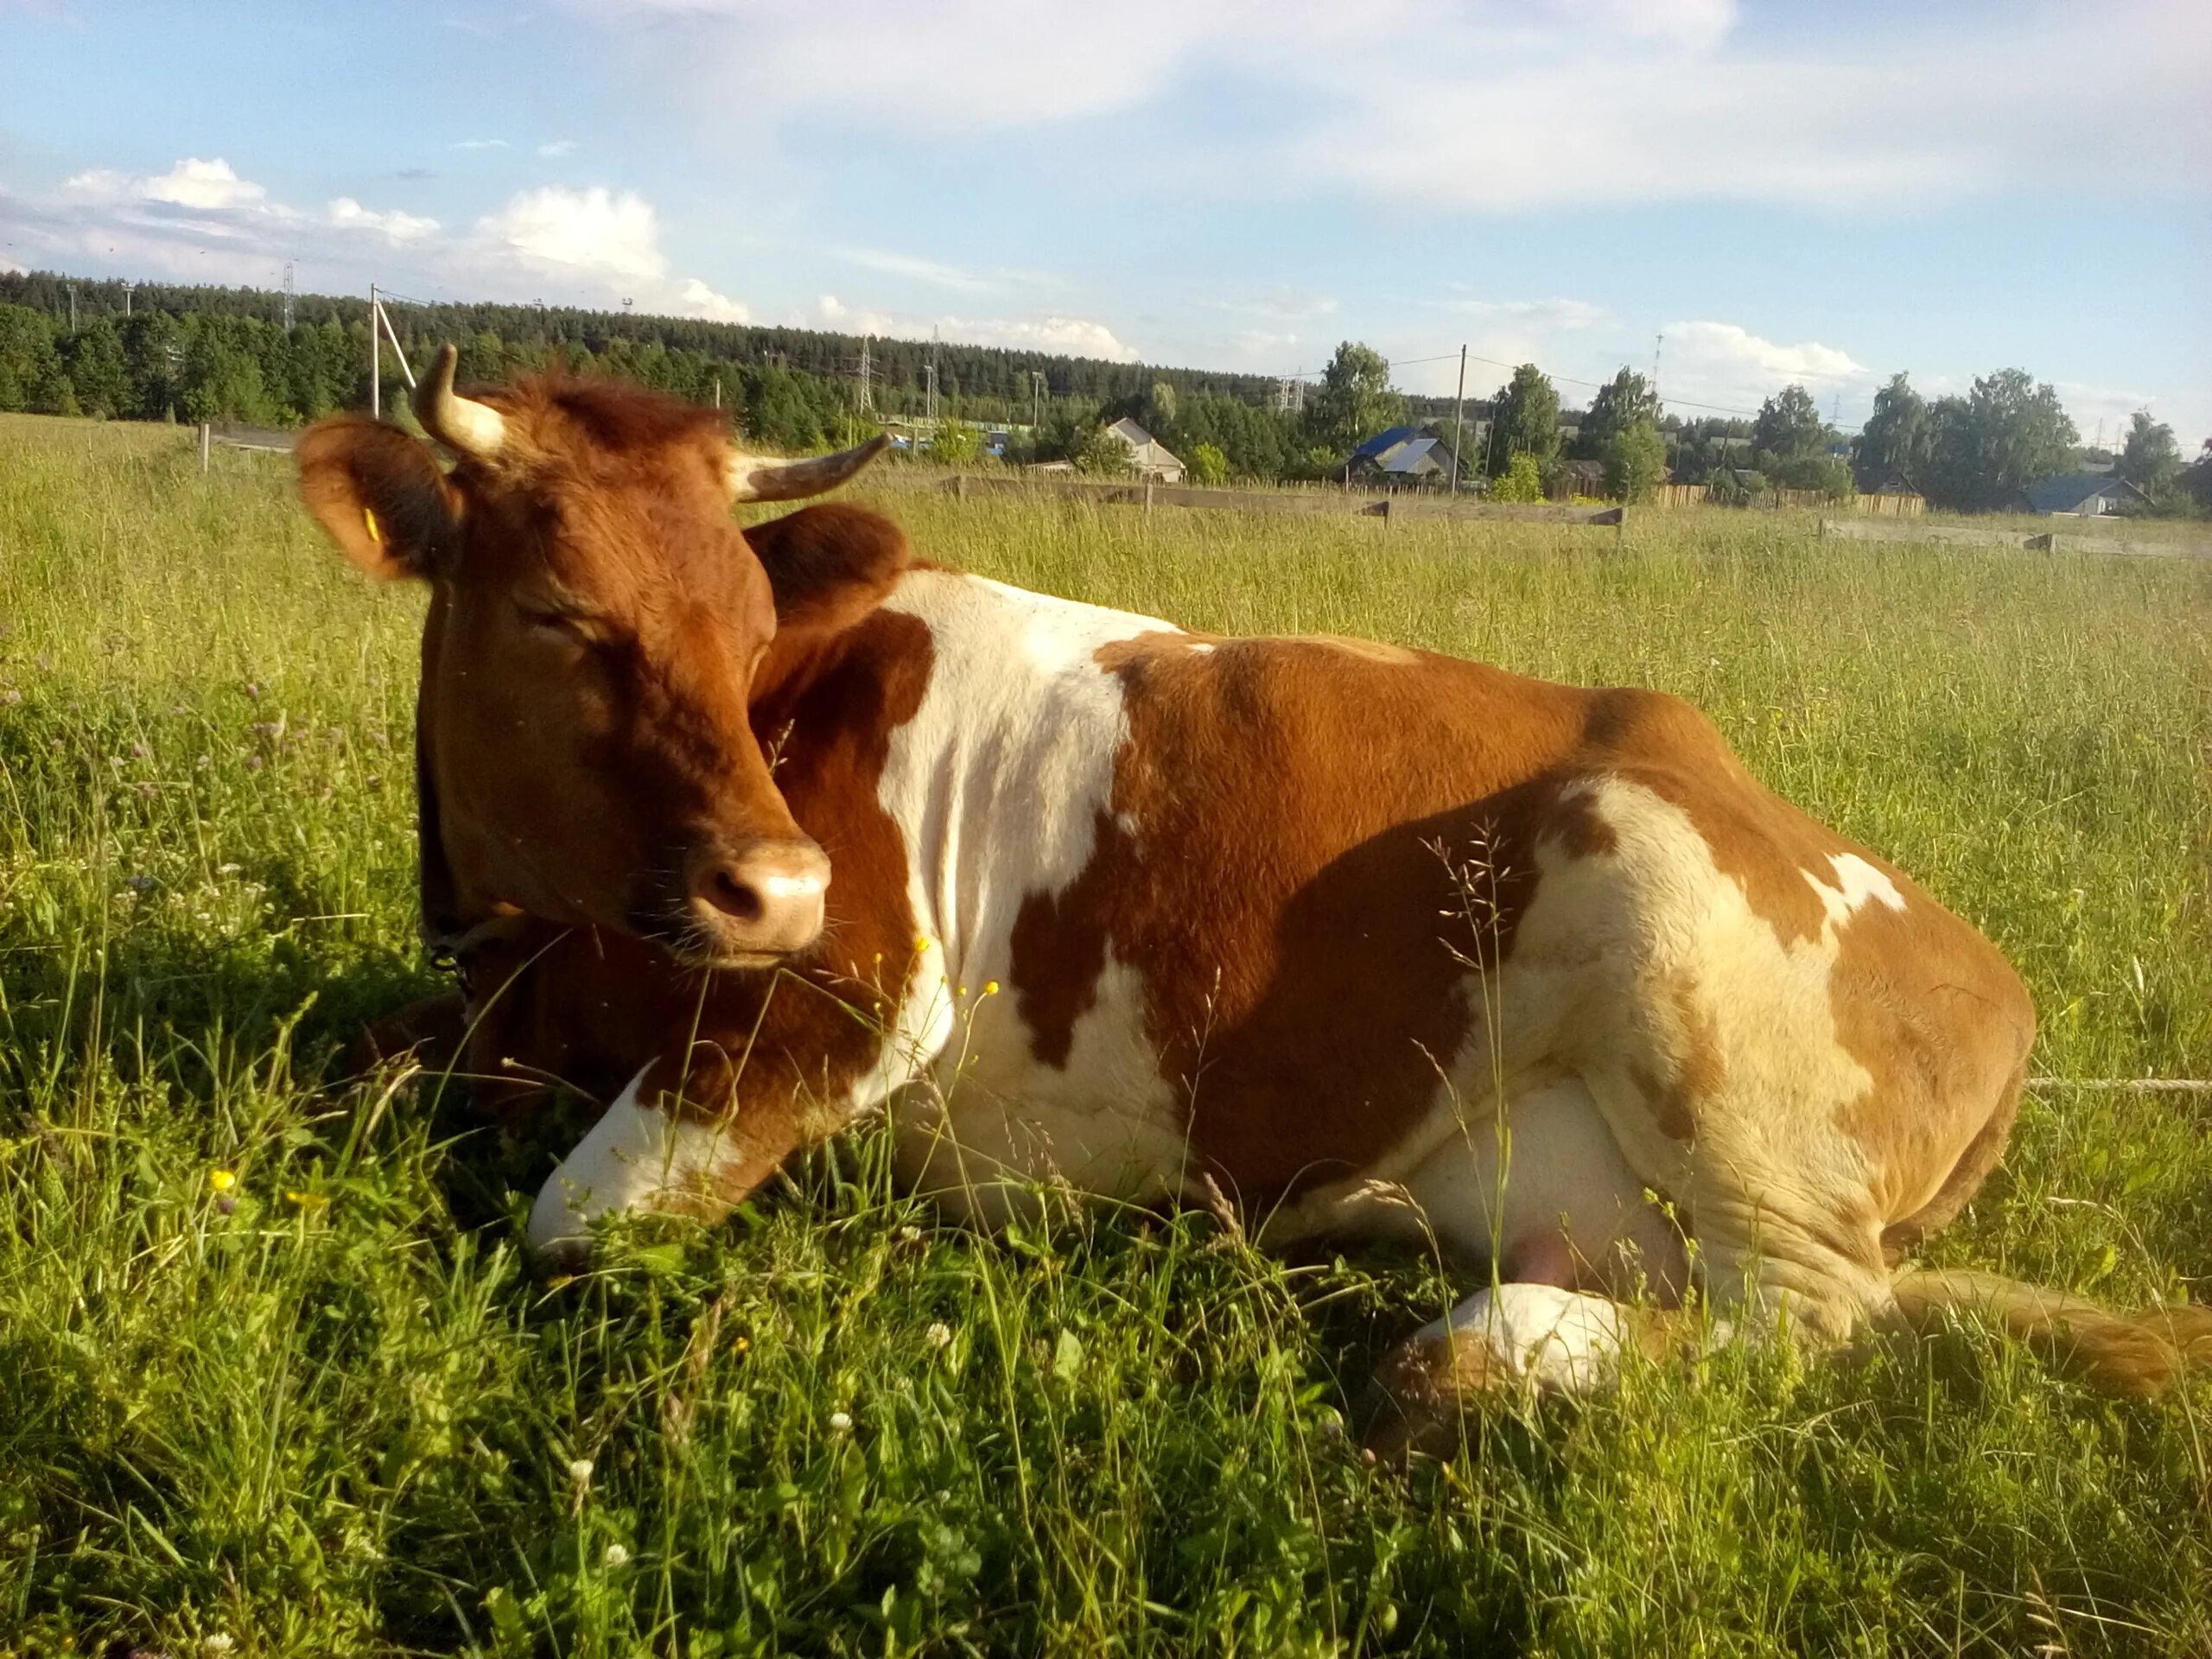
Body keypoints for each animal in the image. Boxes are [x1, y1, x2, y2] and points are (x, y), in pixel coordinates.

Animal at [298, 353, 2212, 1451]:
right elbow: (354, 1061)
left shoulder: (852, 998)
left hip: (1689, 980)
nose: (766, 886)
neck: (554, 952)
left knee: (1813, 1327)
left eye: (751, 618)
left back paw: (1480, 1352)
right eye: (556, 610)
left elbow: (569, 1223)